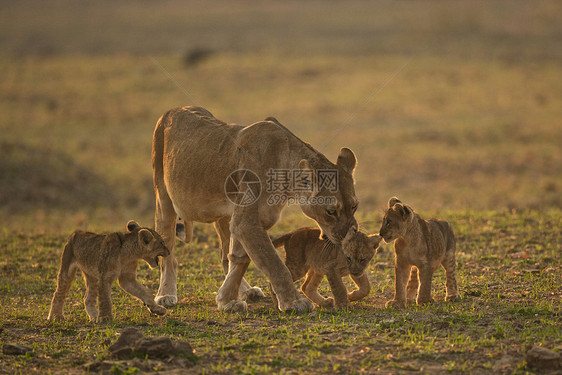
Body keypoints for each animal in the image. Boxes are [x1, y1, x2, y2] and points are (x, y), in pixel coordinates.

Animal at [151, 106, 356, 314]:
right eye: (331, 211)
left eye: (354, 206)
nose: (350, 236)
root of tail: (173, 109)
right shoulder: (246, 223)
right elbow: (274, 263)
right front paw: (293, 302)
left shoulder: (252, 220)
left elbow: (240, 259)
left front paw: (226, 300)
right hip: (163, 197)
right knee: (168, 250)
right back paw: (165, 295)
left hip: (225, 215)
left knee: (225, 254)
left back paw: (247, 291)